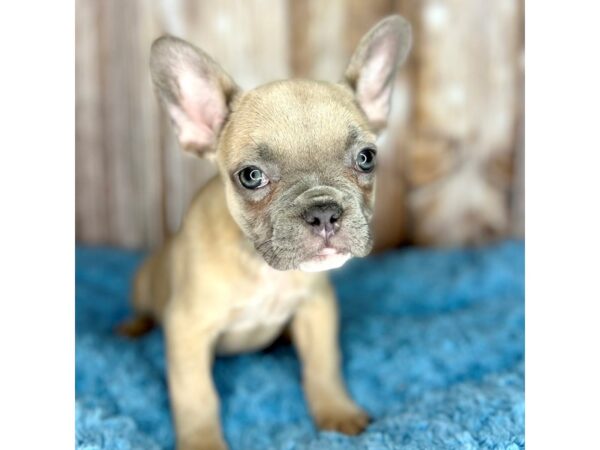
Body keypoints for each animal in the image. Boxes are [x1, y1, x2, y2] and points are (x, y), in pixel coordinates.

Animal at [122, 14, 412, 450]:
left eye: (366, 158)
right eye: (251, 176)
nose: (324, 212)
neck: (264, 269)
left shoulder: (316, 309)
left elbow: (323, 365)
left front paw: (338, 412)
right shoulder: (187, 329)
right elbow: (196, 396)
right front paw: (202, 442)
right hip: (143, 283)